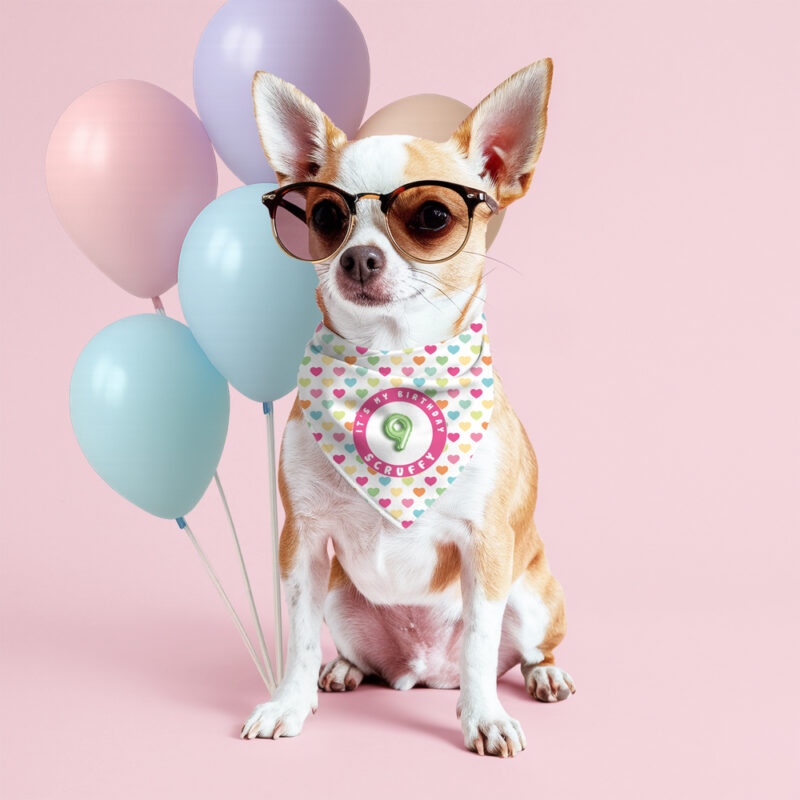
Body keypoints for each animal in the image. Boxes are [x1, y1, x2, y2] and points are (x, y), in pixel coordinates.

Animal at [240, 58, 574, 758]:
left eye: (433, 216)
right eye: (325, 215)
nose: (357, 256)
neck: (390, 362)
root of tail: (426, 674)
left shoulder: (486, 547)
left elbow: (479, 645)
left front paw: (484, 718)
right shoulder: (302, 543)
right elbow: (298, 638)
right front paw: (290, 703)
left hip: (532, 597)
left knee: (519, 651)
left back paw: (542, 675)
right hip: (342, 600)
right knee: (353, 651)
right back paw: (343, 669)